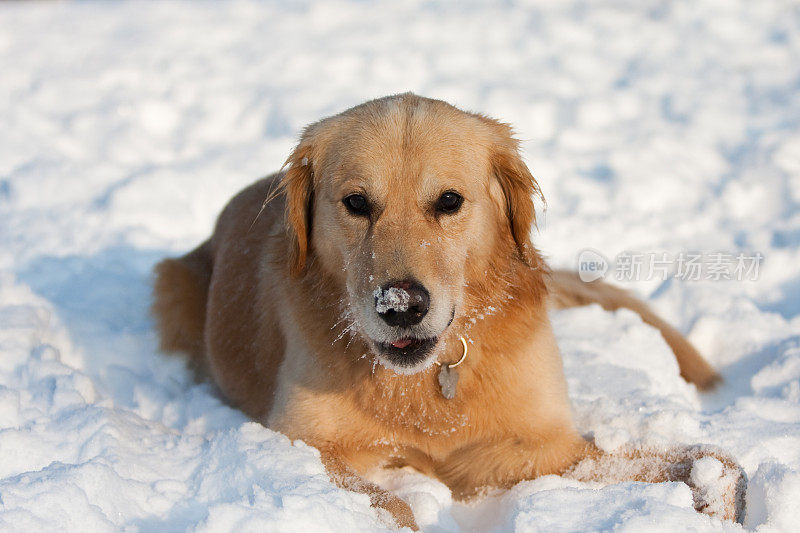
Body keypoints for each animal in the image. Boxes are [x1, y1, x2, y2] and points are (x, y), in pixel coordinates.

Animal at [152, 93, 744, 524]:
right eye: (356, 203)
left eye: (449, 201)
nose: (401, 306)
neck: (425, 382)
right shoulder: (300, 443)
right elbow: (393, 504)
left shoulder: (534, 447)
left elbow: (712, 460)